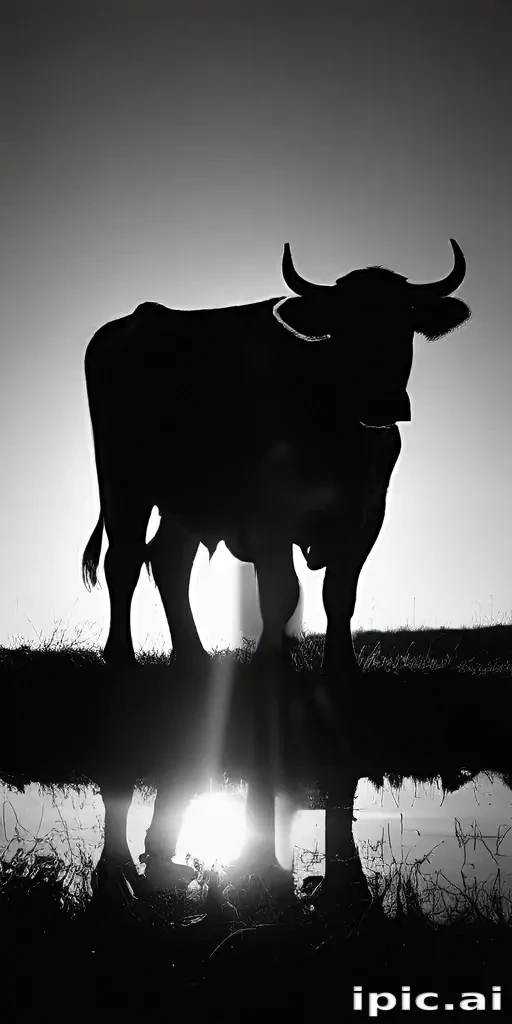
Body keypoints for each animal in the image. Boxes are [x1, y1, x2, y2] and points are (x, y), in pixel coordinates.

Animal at [82, 240, 470, 891]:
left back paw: (193, 659)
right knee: (125, 562)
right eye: (344, 326)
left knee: (169, 563)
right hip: (124, 481)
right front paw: (272, 665)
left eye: (404, 324)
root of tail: (132, 321)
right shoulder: (269, 515)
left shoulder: (367, 514)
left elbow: (341, 594)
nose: (384, 402)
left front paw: (342, 670)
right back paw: (122, 659)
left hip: (184, 502)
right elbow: (280, 593)